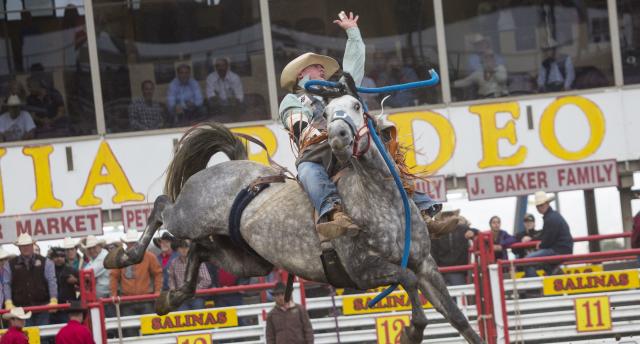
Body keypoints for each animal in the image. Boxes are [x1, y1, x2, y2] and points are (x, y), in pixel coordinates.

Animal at [104, 78, 480, 344]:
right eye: (326, 113)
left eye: (357, 105)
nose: (339, 135)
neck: (382, 200)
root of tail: (228, 166)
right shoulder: (362, 270)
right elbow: (407, 280)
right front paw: (412, 331)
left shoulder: (426, 264)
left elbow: (458, 318)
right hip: (188, 218)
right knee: (161, 207)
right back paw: (121, 257)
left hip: (247, 260)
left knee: (199, 251)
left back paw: (171, 297)